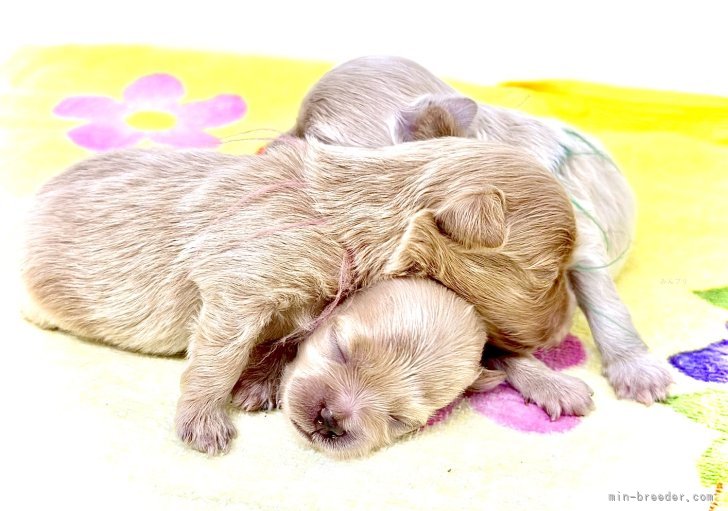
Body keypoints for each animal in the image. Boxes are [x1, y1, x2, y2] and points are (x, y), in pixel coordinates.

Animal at [22, 137, 576, 456]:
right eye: (550, 273)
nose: (566, 329)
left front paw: (552, 383)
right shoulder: (239, 285)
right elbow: (218, 357)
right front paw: (204, 417)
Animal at [288, 55, 672, 408]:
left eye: (317, 141)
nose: (274, 144)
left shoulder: (581, 239)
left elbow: (606, 305)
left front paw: (635, 369)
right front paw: (549, 384)